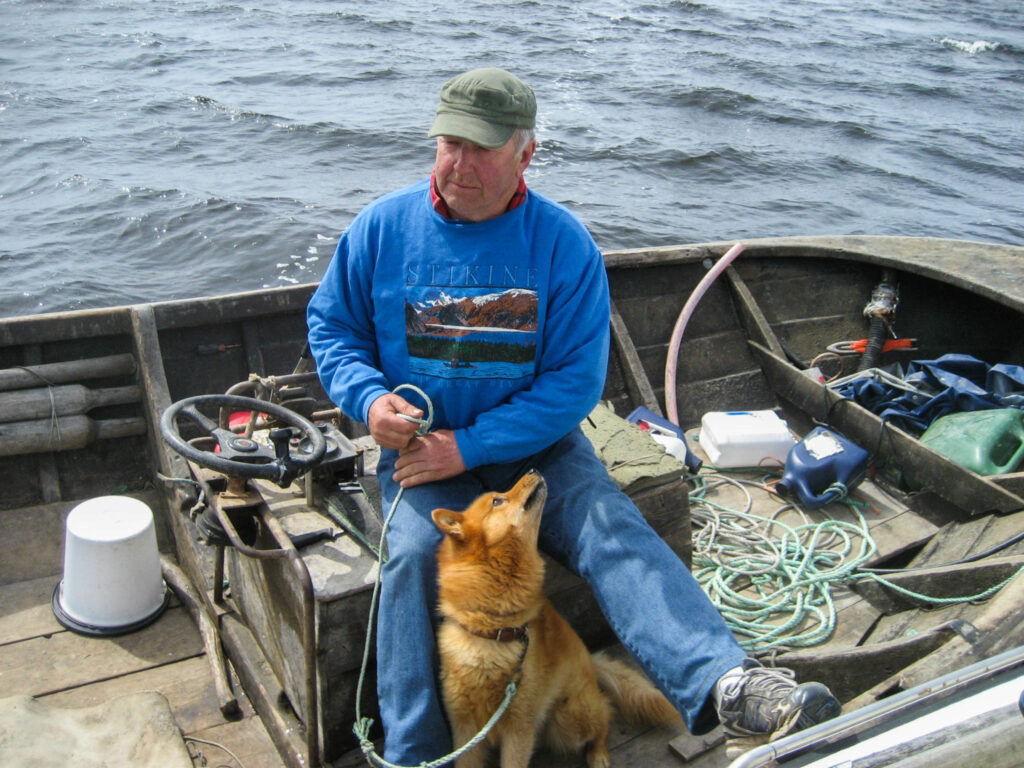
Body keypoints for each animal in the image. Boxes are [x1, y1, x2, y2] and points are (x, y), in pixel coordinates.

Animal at [430, 468, 679, 768]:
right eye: (497, 501)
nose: (533, 469)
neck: (493, 631)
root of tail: (590, 661)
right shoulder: (465, 732)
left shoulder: (519, 729)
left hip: (570, 718)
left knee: (604, 715)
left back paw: (599, 755)